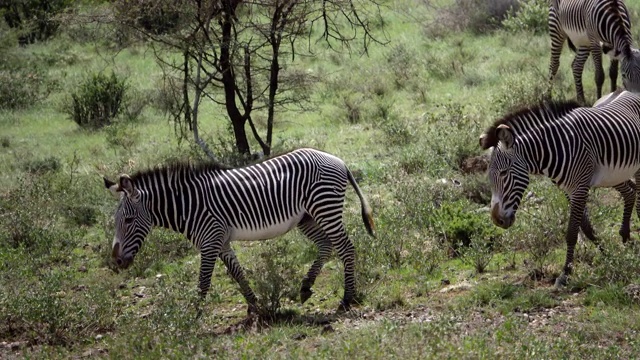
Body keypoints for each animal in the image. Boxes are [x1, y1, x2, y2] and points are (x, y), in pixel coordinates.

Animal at [104, 148, 376, 314]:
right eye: (116, 221)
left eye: (129, 220)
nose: (116, 261)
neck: (188, 205)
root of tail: (337, 159)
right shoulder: (220, 241)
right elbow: (238, 274)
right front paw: (256, 307)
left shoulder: (210, 241)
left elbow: (204, 282)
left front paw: (194, 317)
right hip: (307, 217)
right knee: (326, 245)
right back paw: (306, 286)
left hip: (324, 207)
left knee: (345, 247)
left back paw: (347, 298)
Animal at [482, 90, 640, 286]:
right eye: (489, 177)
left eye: (504, 173)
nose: (497, 220)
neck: (554, 149)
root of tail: (626, 91)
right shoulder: (568, 190)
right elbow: (585, 227)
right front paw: (606, 252)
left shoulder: (580, 187)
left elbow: (572, 231)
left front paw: (565, 273)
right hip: (613, 174)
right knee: (630, 193)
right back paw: (625, 236)